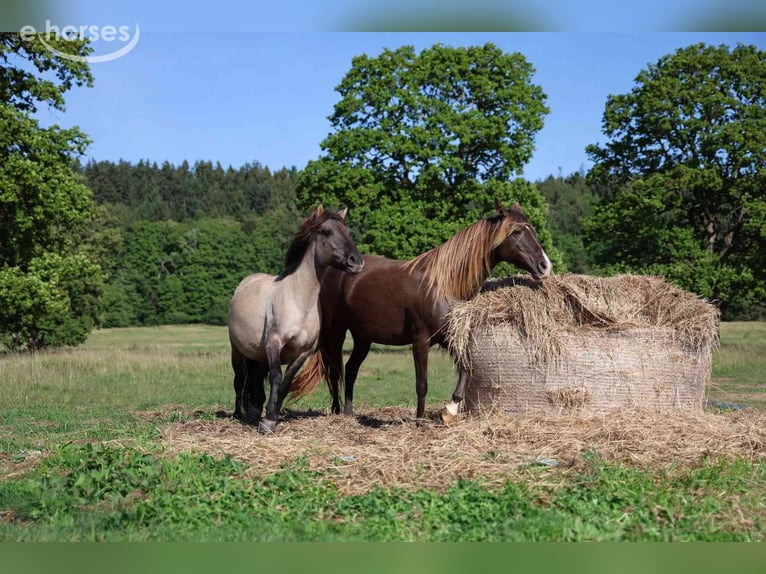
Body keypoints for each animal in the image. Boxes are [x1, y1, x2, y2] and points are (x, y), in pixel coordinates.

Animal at [228, 205, 363, 433]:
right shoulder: (274, 343)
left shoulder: (303, 352)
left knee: (256, 377)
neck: (299, 301)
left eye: (348, 232)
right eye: (326, 232)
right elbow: (276, 377)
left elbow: (285, 383)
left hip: (258, 353)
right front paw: (267, 422)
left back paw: (254, 411)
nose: (357, 261)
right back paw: (239, 414)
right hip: (237, 350)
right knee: (239, 380)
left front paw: (271, 417)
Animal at [290, 198, 552, 423]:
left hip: (363, 337)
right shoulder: (421, 341)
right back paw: (335, 412)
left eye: (532, 230)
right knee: (334, 371)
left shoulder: (447, 338)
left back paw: (349, 413)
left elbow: (466, 368)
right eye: (516, 232)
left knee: (351, 369)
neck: (444, 284)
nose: (545, 266)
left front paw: (450, 411)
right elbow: (422, 383)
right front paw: (419, 419)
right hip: (335, 332)